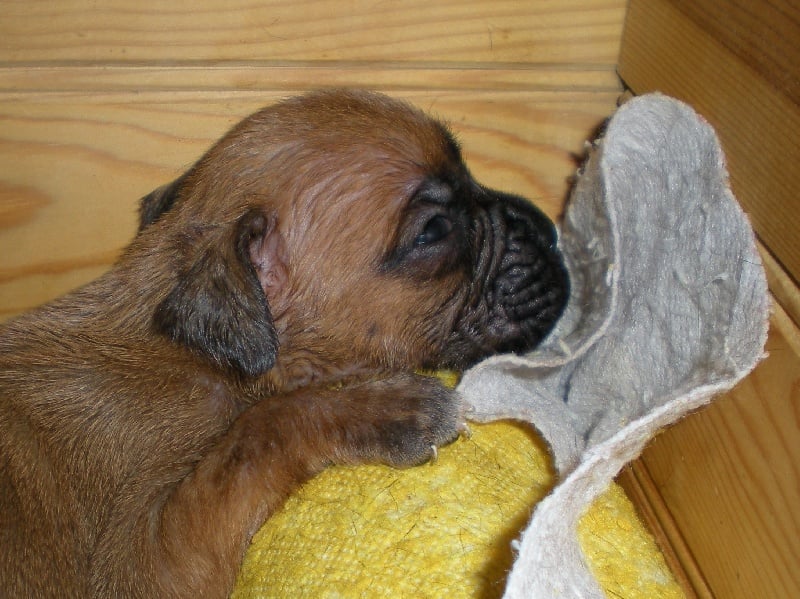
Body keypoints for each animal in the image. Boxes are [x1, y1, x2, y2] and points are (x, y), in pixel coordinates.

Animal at [0, 90, 569, 597]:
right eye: (435, 230)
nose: (551, 232)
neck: (198, 357)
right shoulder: (144, 565)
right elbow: (258, 431)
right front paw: (391, 407)